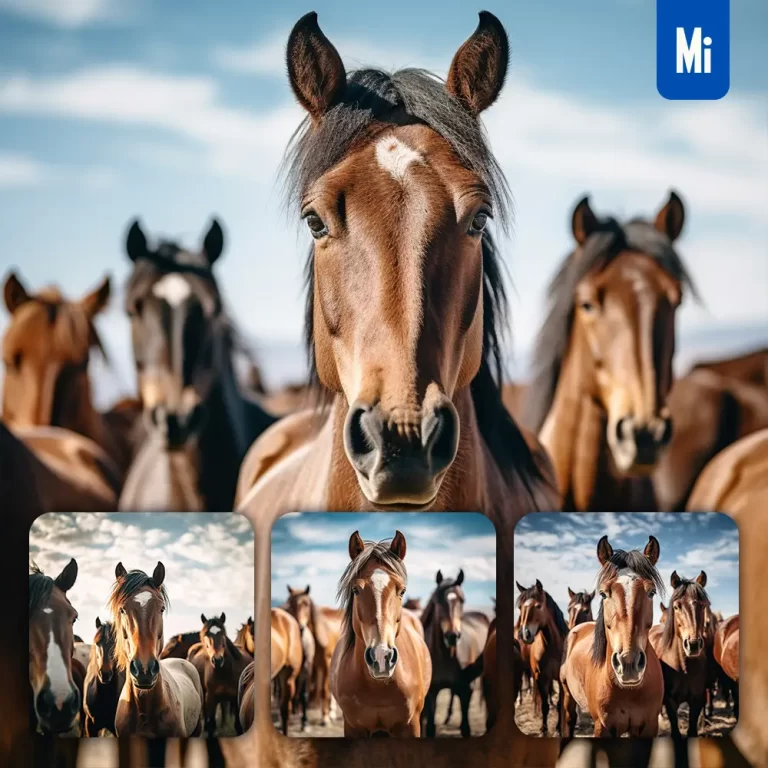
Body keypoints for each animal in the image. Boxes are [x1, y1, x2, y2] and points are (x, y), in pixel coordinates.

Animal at [283, 585, 342, 727]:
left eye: (306, 604)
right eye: (290, 603)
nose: (300, 627)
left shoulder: (326, 663)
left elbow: (324, 690)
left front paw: (325, 718)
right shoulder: (313, 665)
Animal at [421, 569, 489, 737]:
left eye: (462, 600)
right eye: (438, 601)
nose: (453, 636)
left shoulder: (466, 689)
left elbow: (465, 729)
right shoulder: (431, 693)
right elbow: (430, 728)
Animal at [515, 579, 568, 735]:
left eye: (538, 606)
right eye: (520, 607)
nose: (524, 634)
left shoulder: (560, 679)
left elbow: (560, 704)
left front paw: (558, 729)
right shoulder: (540, 676)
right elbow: (544, 705)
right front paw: (543, 730)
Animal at [560, 536, 664, 738]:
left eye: (651, 592)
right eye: (603, 593)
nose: (628, 662)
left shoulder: (649, 726)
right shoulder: (603, 727)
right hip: (568, 696)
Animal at [649, 570, 710, 738]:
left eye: (703, 605)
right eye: (676, 607)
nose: (693, 645)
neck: (684, 667)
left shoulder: (697, 700)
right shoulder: (670, 702)